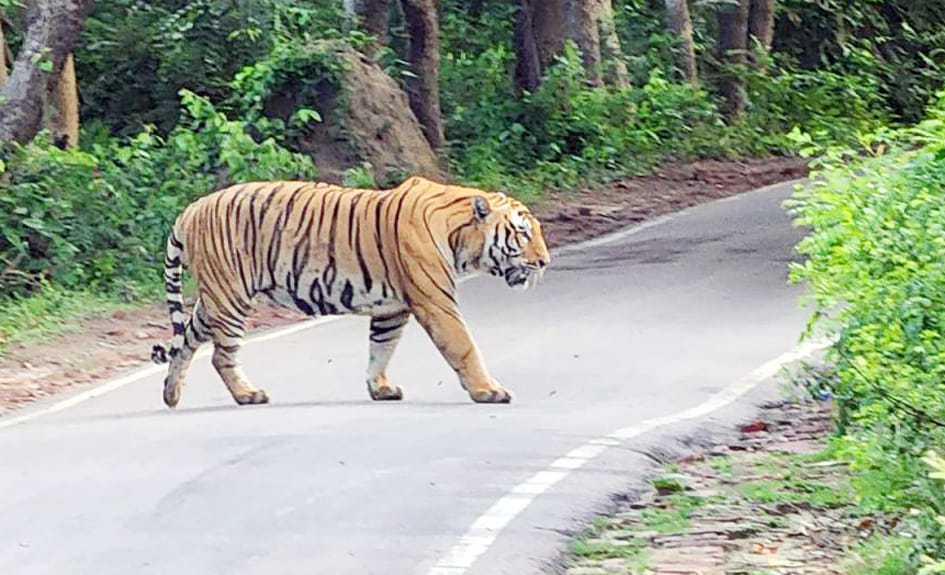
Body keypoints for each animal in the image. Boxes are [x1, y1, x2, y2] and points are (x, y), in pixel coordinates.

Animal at [151, 176, 550, 408]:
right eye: (523, 234)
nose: (545, 262)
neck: (461, 238)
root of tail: (191, 209)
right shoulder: (437, 303)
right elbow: (465, 348)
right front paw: (488, 391)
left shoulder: (391, 309)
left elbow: (381, 349)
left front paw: (380, 388)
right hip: (230, 297)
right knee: (221, 355)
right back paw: (248, 395)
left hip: (215, 299)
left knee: (186, 341)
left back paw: (171, 393)